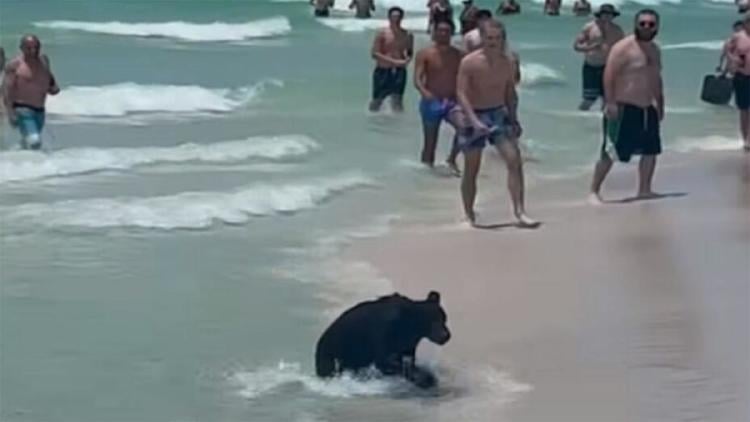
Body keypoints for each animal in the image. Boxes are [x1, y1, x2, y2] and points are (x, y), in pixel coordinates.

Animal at [315, 291, 450, 389]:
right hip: (332, 351)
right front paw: (424, 378)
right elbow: (386, 361)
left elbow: (407, 359)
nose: (446, 335)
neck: (409, 326)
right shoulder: (384, 333)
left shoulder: (408, 342)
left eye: (444, 318)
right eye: (432, 321)